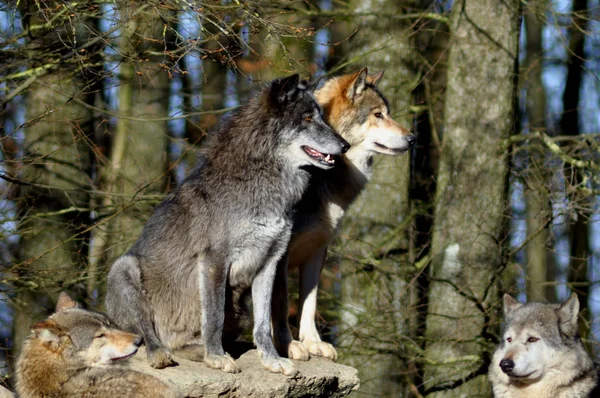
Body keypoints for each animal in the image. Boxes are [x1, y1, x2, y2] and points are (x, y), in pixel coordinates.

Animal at [106, 74, 350, 376]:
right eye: (306, 118)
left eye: (321, 117)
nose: (345, 146)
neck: (261, 180)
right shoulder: (214, 260)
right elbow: (214, 316)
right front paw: (215, 357)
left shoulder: (270, 263)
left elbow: (263, 326)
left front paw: (271, 360)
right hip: (123, 268)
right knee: (145, 333)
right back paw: (163, 353)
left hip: (239, 313)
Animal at [268, 68, 418, 360]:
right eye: (378, 114)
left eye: (388, 113)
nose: (412, 139)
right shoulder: (280, 252)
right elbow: (279, 304)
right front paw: (288, 345)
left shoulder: (318, 250)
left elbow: (309, 303)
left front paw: (313, 343)